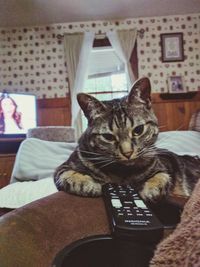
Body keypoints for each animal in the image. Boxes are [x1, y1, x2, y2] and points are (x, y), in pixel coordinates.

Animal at [53, 78, 200, 203]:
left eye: (138, 130)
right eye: (108, 137)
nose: (127, 153)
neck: (122, 174)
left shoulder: (162, 166)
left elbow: (161, 175)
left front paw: (151, 189)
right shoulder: (64, 167)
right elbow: (70, 175)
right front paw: (90, 185)